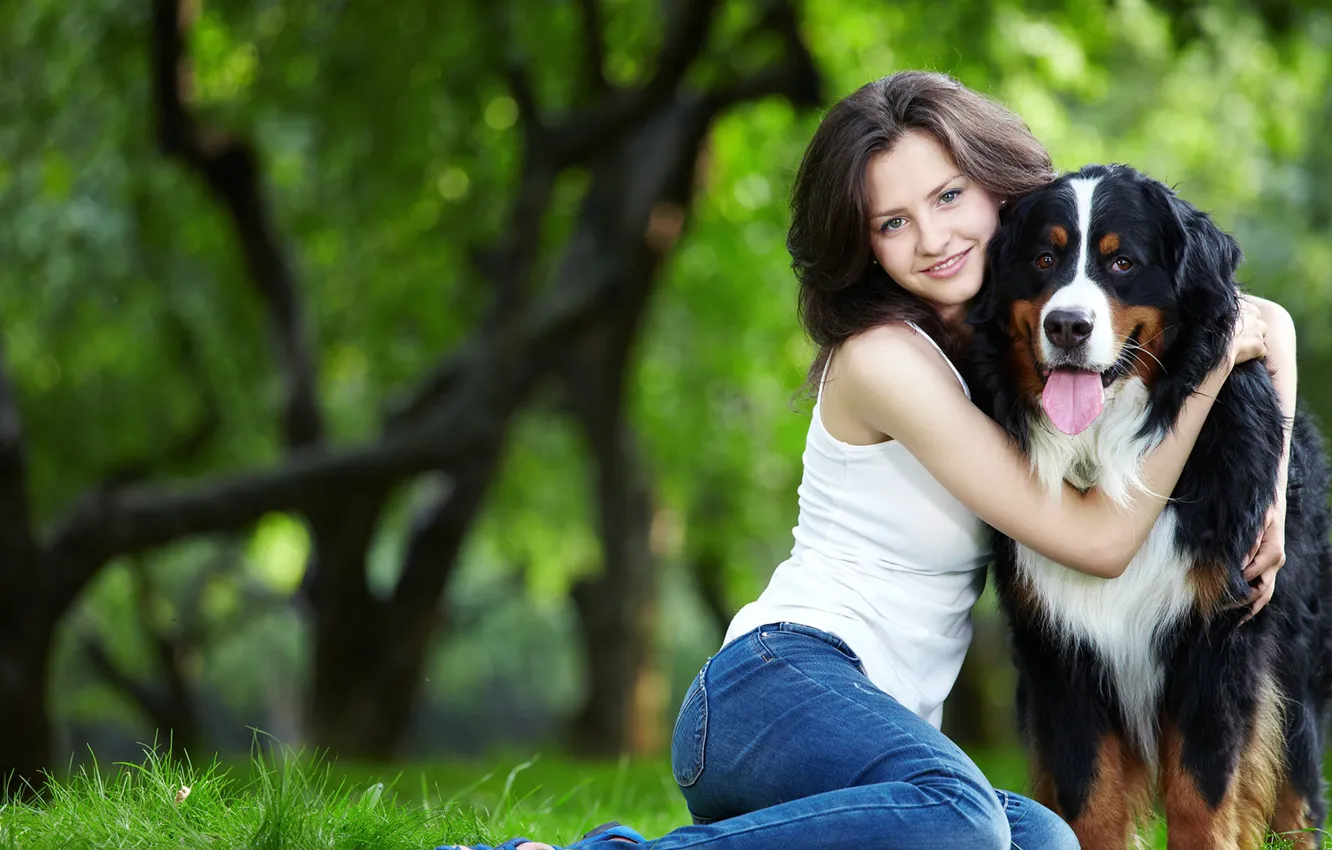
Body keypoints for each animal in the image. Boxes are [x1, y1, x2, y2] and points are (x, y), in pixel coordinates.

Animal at [969, 163, 1332, 847]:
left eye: (1122, 263)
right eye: (1044, 258)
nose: (1067, 326)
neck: (1108, 453)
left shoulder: (1216, 638)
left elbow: (1202, 795)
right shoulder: (1062, 650)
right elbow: (1090, 800)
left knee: (1297, 802)